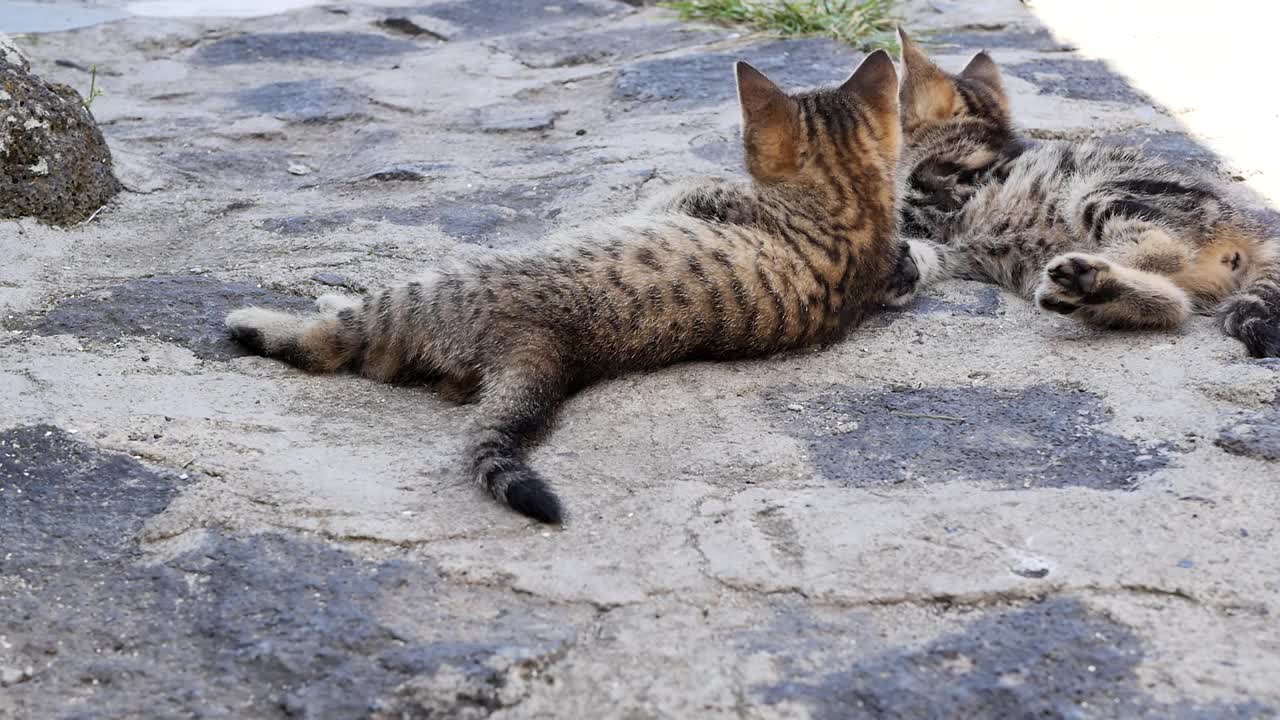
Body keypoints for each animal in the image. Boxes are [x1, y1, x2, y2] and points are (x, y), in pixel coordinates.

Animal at [890, 29, 1280, 353]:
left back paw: (1089, 272)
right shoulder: (952, 245)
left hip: (1095, 193)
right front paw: (904, 269)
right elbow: (927, 253)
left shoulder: (932, 195)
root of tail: (1246, 224)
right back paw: (1091, 289)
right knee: (1174, 305)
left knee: (1166, 251)